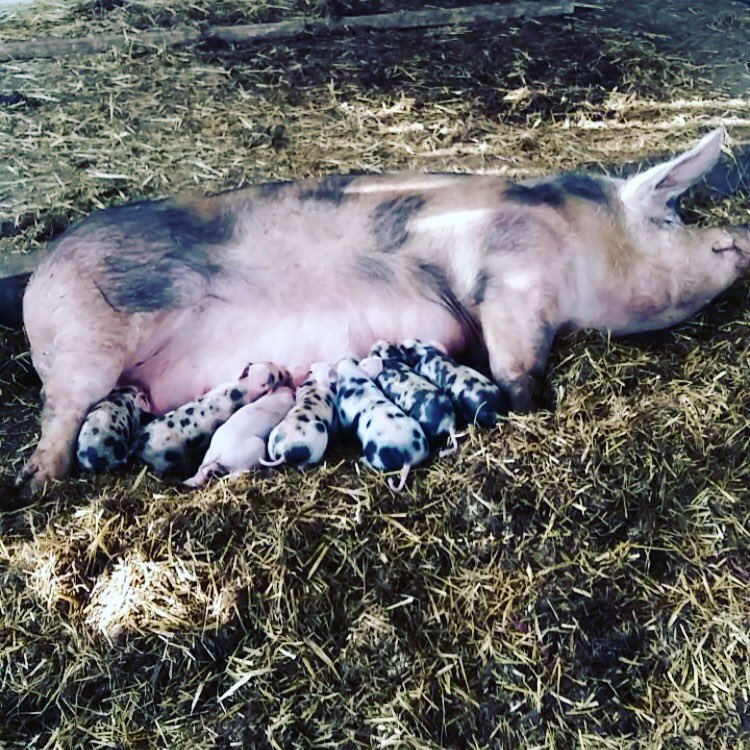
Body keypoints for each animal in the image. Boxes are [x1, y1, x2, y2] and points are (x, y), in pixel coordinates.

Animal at [133, 362, 287, 477]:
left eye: (269, 363)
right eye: (276, 375)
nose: (284, 370)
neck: (245, 386)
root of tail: (140, 441)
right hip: (164, 461)